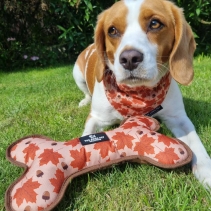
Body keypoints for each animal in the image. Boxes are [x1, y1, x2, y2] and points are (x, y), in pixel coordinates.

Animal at [73, 0, 211, 188]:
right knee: (86, 92)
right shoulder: (96, 118)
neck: (137, 93)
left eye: (155, 23)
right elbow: (87, 137)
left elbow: (196, 143)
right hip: (77, 74)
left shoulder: (178, 118)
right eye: (112, 30)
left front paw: (207, 171)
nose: (129, 58)